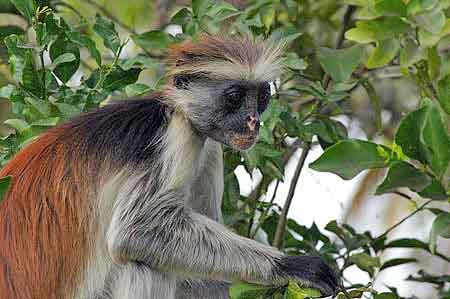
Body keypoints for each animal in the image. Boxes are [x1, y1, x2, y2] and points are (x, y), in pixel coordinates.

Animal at [0, 35, 338, 299]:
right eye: (234, 97)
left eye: (262, 96)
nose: (253, 121)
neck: (177, 109)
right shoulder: (177, 135)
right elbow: (136, 230)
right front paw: (291, 267)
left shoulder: (208, 145)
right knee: (144, 263)